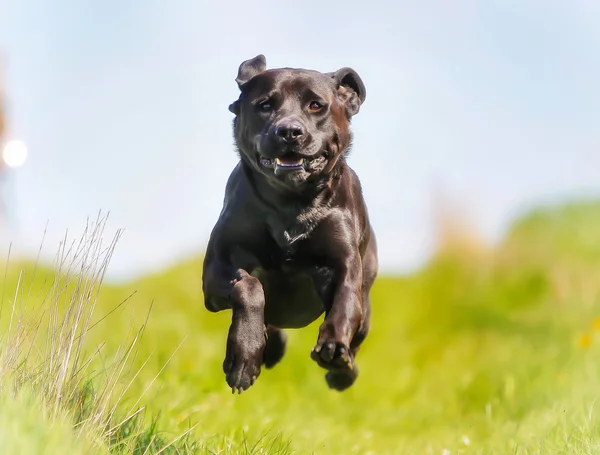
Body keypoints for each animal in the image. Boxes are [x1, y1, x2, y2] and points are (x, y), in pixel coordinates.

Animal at [204, 55, 378, 394]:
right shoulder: (215, 272)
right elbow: (249, 286)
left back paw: (343, 371)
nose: (289, 131)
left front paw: (333, 347)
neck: (290, 203)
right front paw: (244, 357)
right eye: (265, 105)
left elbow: (345, 303)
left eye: (316, 105)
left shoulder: (343, 262)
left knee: (358, 329)